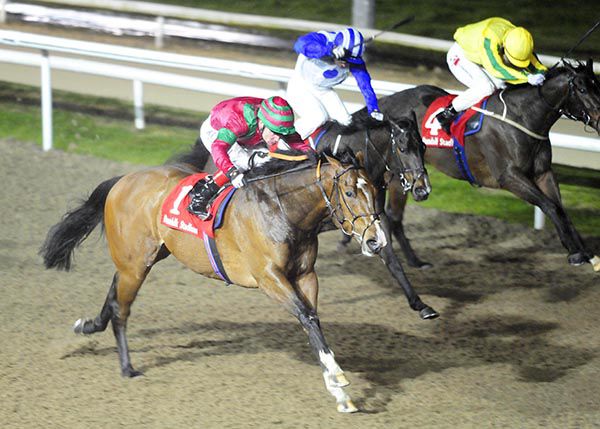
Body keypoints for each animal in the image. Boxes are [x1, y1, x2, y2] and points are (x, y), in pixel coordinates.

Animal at [40, 151, 388, 413]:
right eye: (350, 192)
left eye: (373, 190)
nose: (376, 241)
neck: (281, 209)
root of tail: (124, 180)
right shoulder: (269, 278)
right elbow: (307, 316)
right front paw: (339, 379)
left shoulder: (305, 275)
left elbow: (312, 320)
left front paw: (340, 393)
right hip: (135, 265)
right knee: (121, 310)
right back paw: (127, 367)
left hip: (143, 259)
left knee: (114, 295)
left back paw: (88, 326)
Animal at [191, 115, 439, 319]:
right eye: (403, 148)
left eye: (423, 146)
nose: (423, 189)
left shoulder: (372, 219)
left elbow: (391, 259)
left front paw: (421, 304)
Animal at [379, 59, 600, 272]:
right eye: (582, 89)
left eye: (597, 85)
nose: (599, 119)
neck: (522, 117)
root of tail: (383, 103)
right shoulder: (508, 177)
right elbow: (550, 206)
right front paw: (575, 253)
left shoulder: (544, 173)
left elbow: (561, 210)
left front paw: (587, 254)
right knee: (393, 216)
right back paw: (411, 260)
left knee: (393, 215)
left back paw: (414, 260)